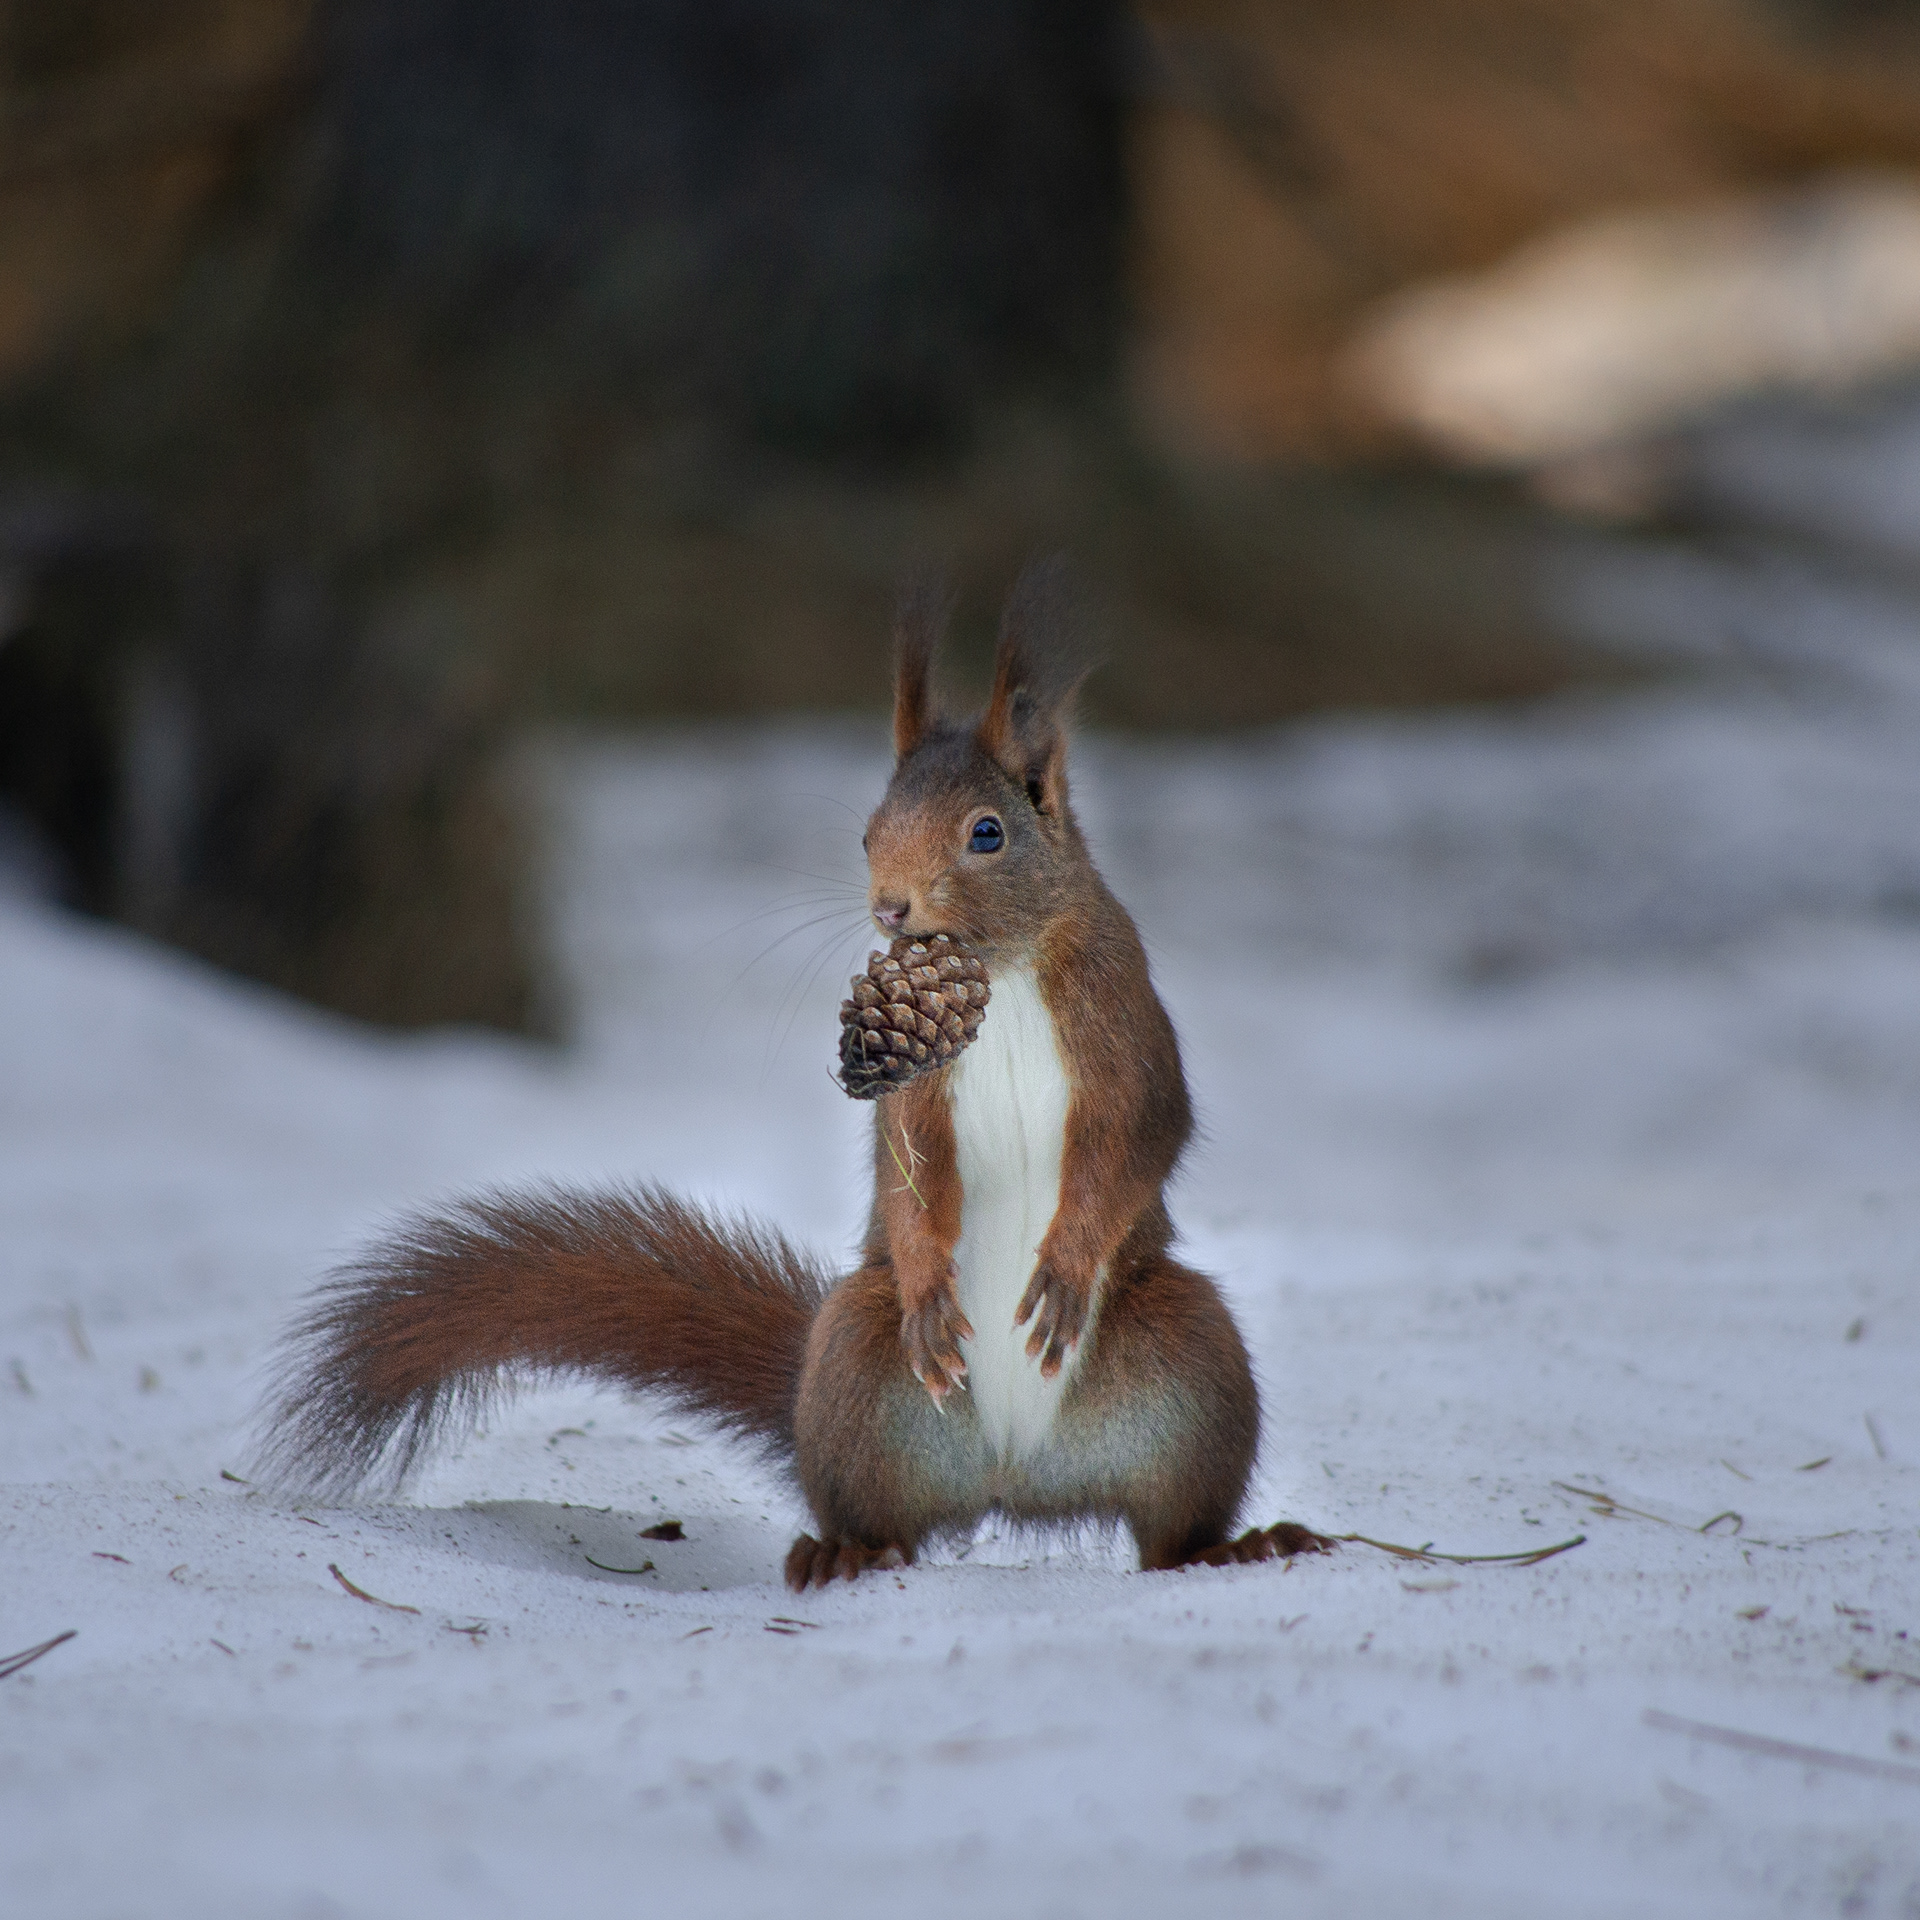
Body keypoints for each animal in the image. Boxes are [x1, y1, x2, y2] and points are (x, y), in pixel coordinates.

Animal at [255, 562, 1334, 1590]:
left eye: (987, 832)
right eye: (867, 830)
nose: (892, 907)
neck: (1000, 970)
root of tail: (1013, 1480)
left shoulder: (1124, 1024)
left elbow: (1142, 1131)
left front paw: (1066, 1269)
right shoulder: (916, 1090)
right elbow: (910, 1168)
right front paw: (931, 1285)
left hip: (1193, 1366)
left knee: (1169, 1533)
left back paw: (1237, 1548)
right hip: (856, 1360)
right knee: (879, 1512)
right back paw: (843, 1552)